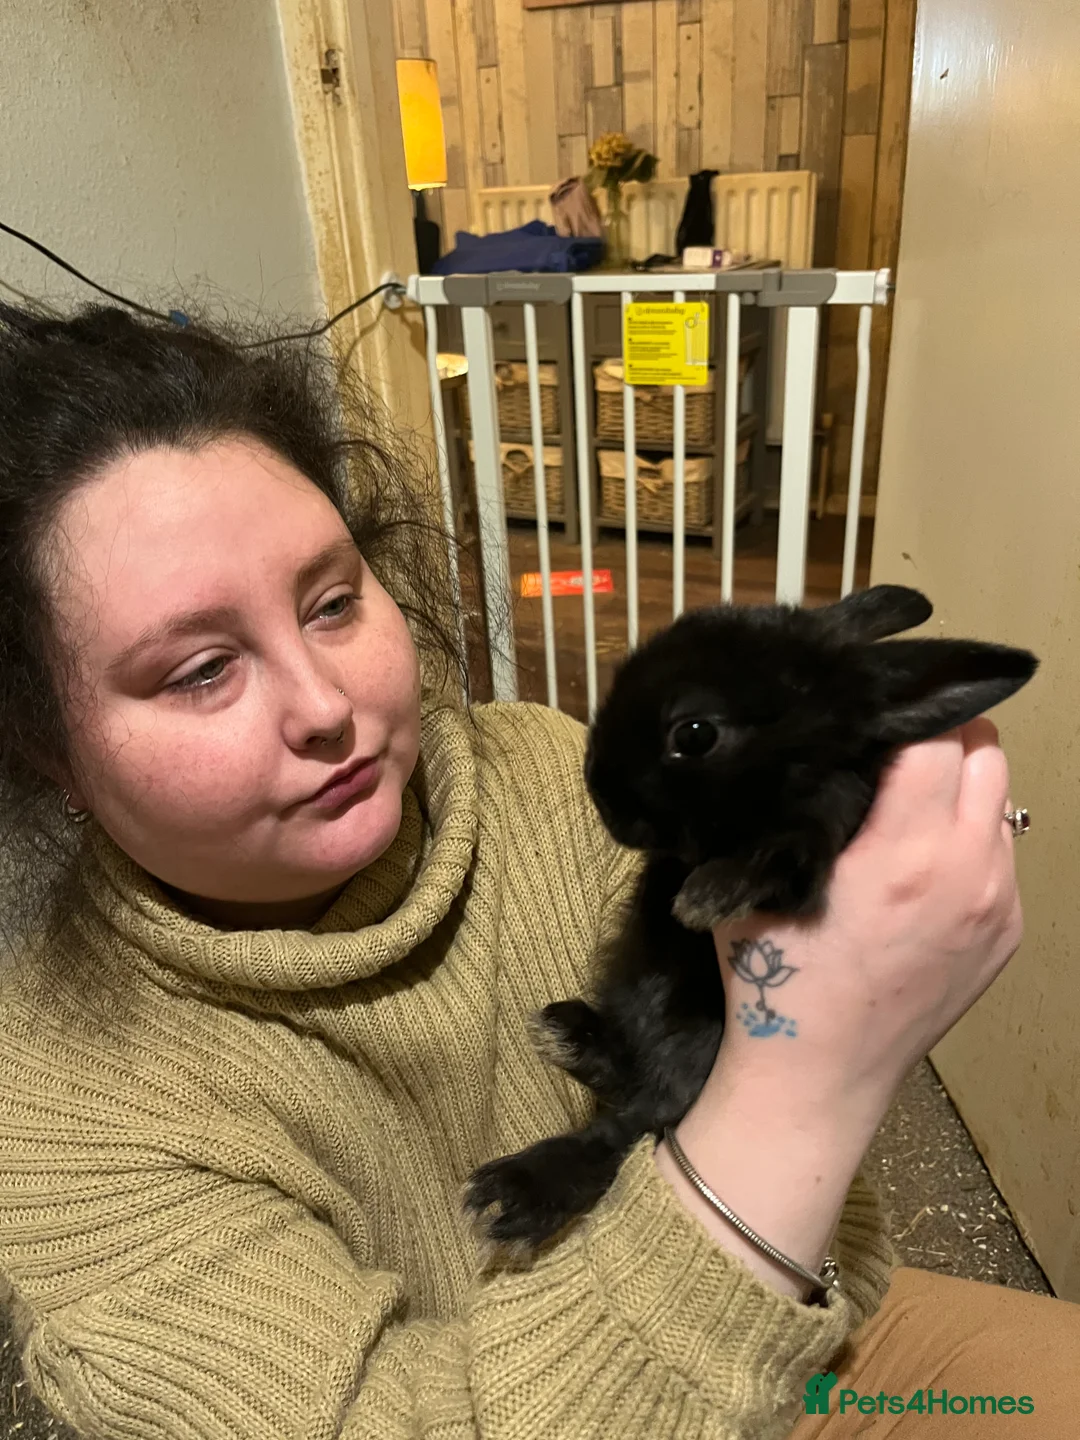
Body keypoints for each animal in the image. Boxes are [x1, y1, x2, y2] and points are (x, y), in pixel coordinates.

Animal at [465, 585, 1038, 1248]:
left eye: (694, 734)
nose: (603, 797)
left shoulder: (818, 834)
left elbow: (781, 854)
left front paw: (707, 896)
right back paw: (567, 1035)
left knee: (634, 1120)